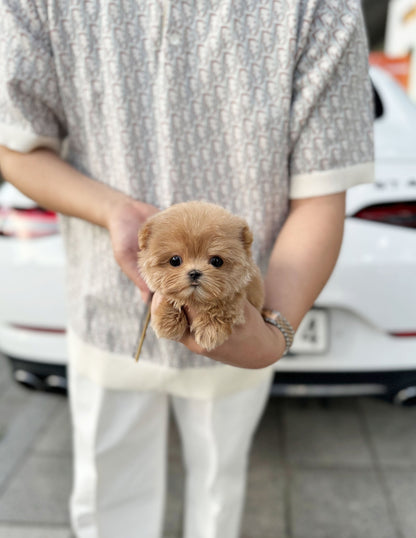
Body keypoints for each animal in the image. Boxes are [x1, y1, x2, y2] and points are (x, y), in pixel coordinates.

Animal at [138, 200, 264, 348]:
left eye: (216, 261)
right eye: (175, 260)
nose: (194, 273)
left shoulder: (241, 291)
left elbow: (226, 303)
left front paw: (210, 329)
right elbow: (170, 296)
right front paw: (167, 322)